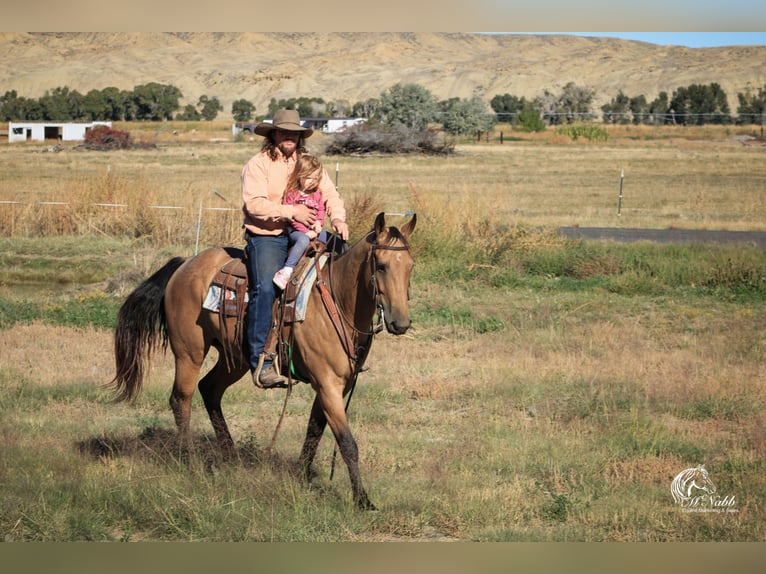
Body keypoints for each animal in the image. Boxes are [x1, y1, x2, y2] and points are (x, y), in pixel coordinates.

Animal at [109, 214, 414, 510]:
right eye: (382, 266)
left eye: (410, 267)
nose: (400, 323)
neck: (338, 302)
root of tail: (185, 264)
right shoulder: (327, 384)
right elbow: (348, 443)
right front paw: (362, 500)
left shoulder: (335, 386)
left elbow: (314, 430)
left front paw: (302, 477)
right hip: (189, 353)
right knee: (181, 398)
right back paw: (190, 461)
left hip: (235, 359)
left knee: (210, 389)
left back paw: (230, 457)